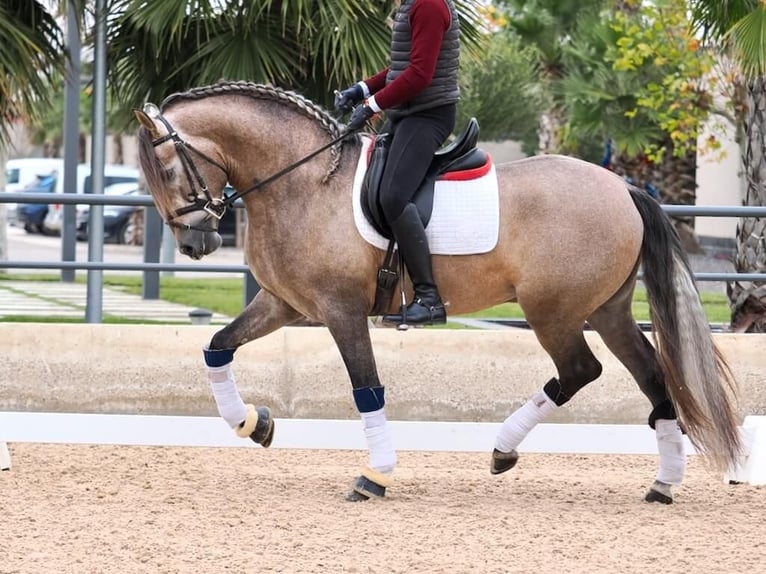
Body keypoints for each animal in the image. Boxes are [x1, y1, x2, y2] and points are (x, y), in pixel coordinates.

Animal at [134, 80, 744, 504]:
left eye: (166, 167)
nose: (194, 243)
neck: (303, 181)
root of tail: (623, 187)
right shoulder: (283, 304)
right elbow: (217, 347)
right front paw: (253, 423)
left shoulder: (340, 311)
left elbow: (367, 389)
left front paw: (375, 475)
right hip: (607, 311)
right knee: (649, 377)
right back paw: (658, 483)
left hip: (553, 311)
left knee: (580, 371)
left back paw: (508, 449)